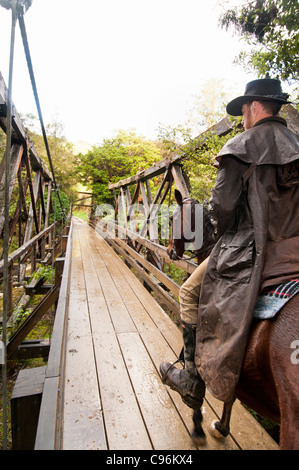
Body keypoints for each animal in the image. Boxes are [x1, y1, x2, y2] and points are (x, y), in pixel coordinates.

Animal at [168, 189, 299, 450]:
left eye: (171, 219)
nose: (169, 251)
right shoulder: (229, 361)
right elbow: (229, 393)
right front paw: (222, 428)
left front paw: (198, 425)